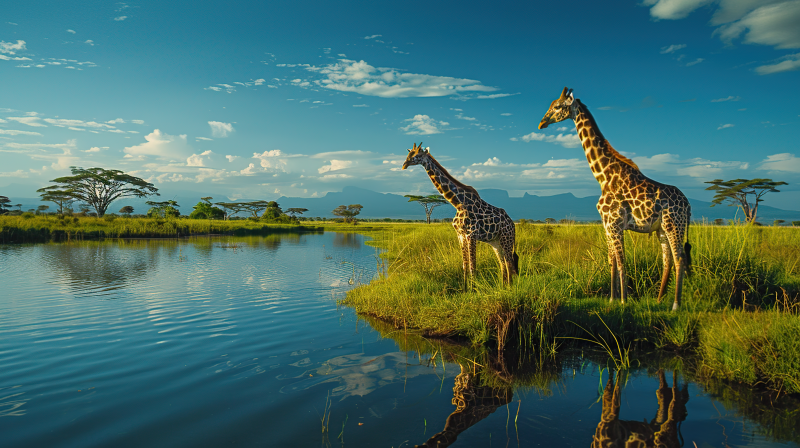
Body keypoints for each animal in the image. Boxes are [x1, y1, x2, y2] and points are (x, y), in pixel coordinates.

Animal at [402, 142, 519, 286]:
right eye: (409, 154)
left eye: (418, 155)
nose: (404, 164)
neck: (458, 203)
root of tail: (512, 224)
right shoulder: (460, 235)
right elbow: (465, 266)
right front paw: (465, 288)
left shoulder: (471, 235)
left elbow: (473, 268)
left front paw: (474, 289)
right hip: (495, 242)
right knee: (502, 263)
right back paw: (503, 286)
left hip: (506, 238)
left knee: (509, 263)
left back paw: (509, 287)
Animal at [539, 87, 692, 310]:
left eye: (558, 106)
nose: (542, 123)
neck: (603, 176)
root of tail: (688, 205)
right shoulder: (607, 224)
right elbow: (611, 260)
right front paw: (612, 298)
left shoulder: (615, 223)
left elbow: (621, 261)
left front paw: (623, 300)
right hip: (662, 228)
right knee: (668, 260)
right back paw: (658, 299)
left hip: (675, 225)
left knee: (680, 258)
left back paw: (675, 305)